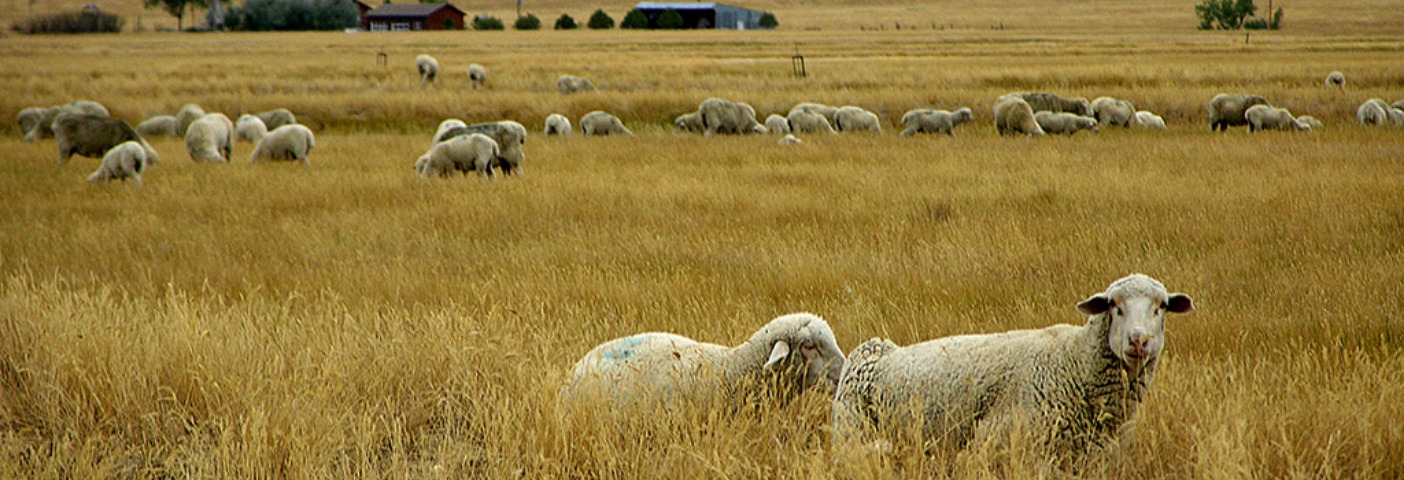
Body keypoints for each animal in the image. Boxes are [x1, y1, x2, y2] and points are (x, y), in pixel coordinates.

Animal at [831, 274, 1195, 463]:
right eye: (1114, 306)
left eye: (1161, 307)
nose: (1139, 340)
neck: (1075, 362)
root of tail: (874, 350)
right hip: (851, 434)